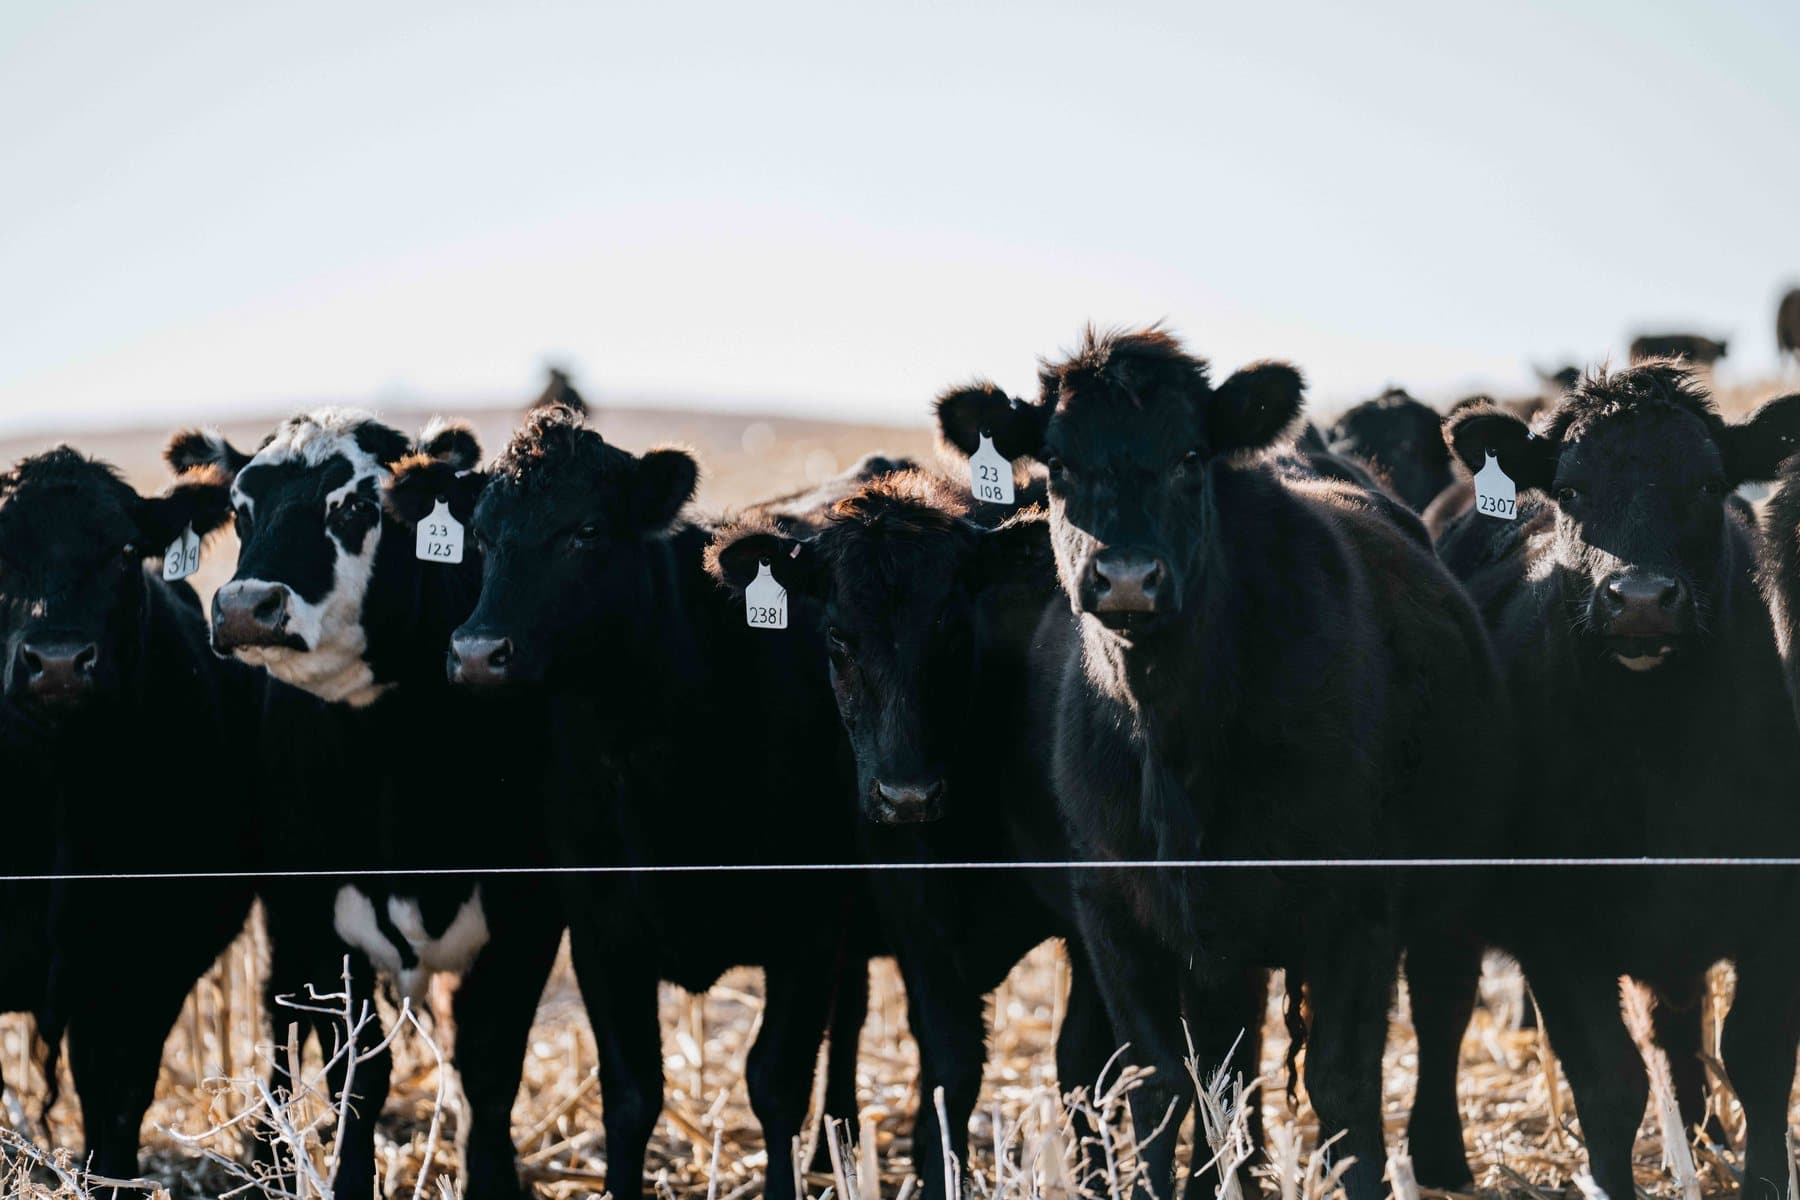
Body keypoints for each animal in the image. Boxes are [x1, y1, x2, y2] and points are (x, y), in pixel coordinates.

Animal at [165, 411, 564, 1200]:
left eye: (355, 507)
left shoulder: (530, 915)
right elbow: (358, 1072)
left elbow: (489, 1068)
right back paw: (269, 1152)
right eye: (242, 509)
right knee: (279, 1018)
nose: (245, 607)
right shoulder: (318, 914)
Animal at [399, 402, 873, 1200]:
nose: (477, 653)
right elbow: (631, 1095)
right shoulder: (601, 929)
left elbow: (776, 1083)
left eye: (587, 530)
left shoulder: (809, 922)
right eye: (483, 537)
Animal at [707, 471, 1121, 1198]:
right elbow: (951, 1066)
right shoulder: (912, 910)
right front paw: (936, 1176)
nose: (907, 797)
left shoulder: (1089, 912)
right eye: (838, 640)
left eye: (954, 631)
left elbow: (1084, 1068)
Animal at [1436, 365, 1800, 1199]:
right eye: (1570, 491)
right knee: (1443, 1007)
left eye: (1707, 484)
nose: (1638, 601)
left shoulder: (1777, 910)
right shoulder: (1557, 929)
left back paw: (1700, 1141)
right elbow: (1609, 1081)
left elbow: (1759, 1059)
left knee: (1677, 1027)